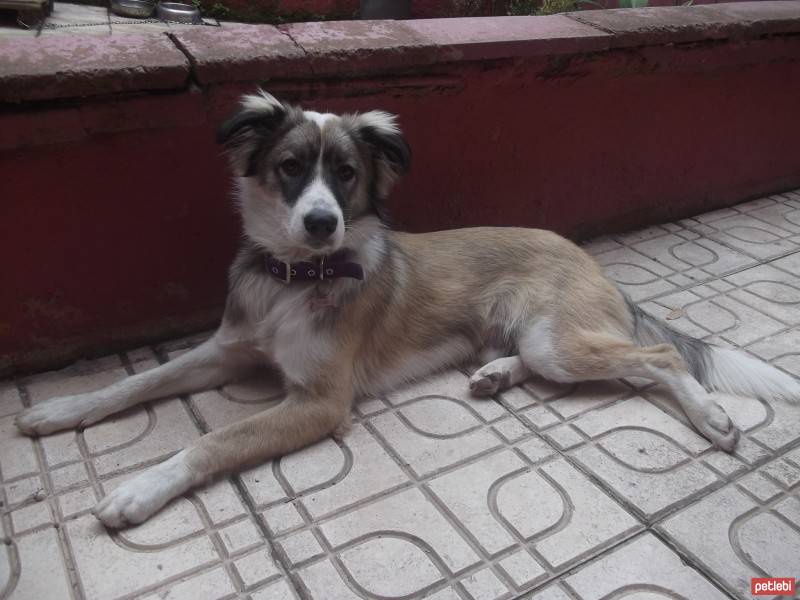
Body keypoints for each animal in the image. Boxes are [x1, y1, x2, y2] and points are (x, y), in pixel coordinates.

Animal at [14, 91, 800, 528]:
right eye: (291, 168)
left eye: (347, 175)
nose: (322, 223)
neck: (295, 277)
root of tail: (585, 256)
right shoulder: (227, 346)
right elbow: (135, 382)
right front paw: (59, 410)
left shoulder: (320, 402)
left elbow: (215, 442)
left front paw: (138, 490)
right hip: (539, 343)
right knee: (574, 363)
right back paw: (496, 376)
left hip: (560, 337)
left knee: (658, 357)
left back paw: (712, 417)